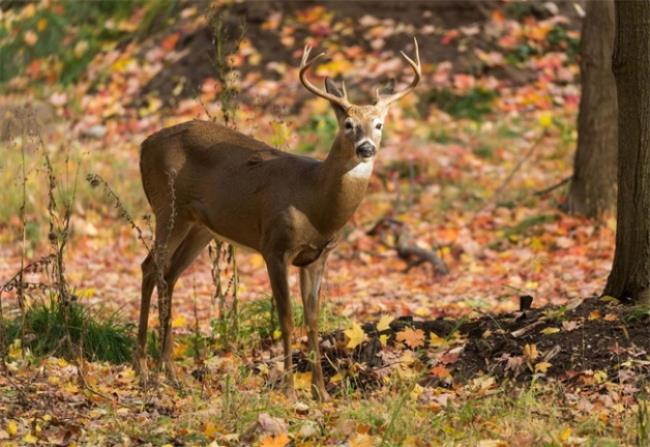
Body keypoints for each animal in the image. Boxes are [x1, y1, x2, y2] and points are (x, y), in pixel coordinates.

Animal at [135, 39, 420, 402]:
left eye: (379, 124)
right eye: (348, 125)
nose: (366, 148)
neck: (314, 200)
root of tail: (143, 145)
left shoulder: (317, 256)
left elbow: (312, 320)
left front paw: (320, 392)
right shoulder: (274, 246)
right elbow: (285, 318)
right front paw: (289, 390)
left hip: (201, 226)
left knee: (169, 274)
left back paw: (169, 372)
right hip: (168, 206)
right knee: (150, 267)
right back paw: (148, 371)